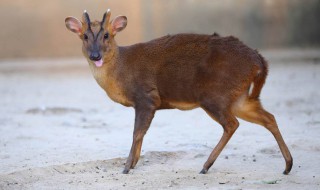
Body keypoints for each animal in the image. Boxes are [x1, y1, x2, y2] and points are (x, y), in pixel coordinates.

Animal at [65, 10, 292, 174]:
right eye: (84, 36)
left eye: (106, 35)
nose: (95, 55)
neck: (121, 71)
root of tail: (258, 60)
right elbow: (140, 133)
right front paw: (134, 163)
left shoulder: (147, 97)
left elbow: (137, 132)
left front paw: (127, 167)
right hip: (240, 97)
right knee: (269, 117)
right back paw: (288, 165)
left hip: (214, 95)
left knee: (232, 124)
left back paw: (205, 166)